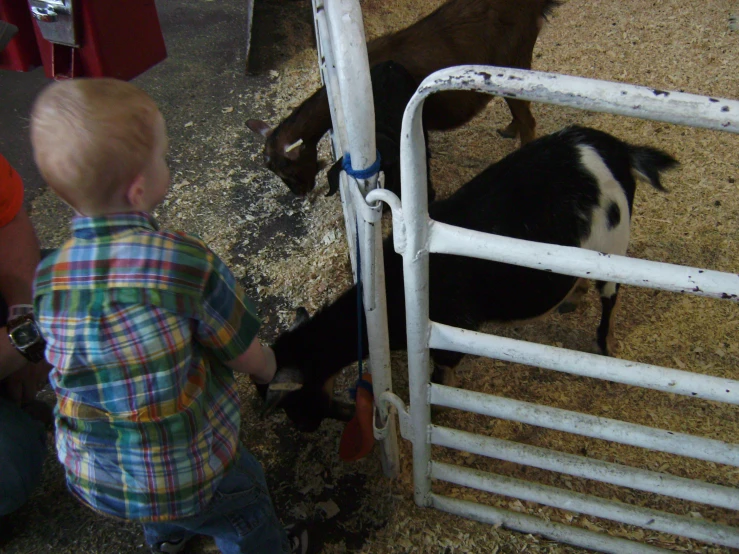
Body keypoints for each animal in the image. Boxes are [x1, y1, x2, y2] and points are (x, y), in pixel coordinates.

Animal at [264, 126, 680, 432]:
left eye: (291, 400)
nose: (304, 427)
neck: (394, 291)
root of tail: (617, 150)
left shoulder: (452, 328)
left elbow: (442, 373)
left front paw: (436, 413)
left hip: (614, 245)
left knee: (610, 296)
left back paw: (605, 344)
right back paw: (573, 300)